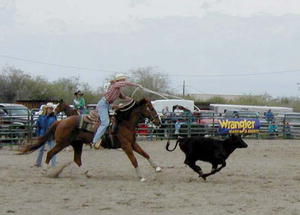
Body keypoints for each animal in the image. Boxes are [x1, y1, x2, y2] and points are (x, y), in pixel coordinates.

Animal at [19, 98, 162, 181]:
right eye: (150, 108)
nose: (159, 121)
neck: (124, 122)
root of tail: (60, 121)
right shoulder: (126, 145)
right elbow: (134, 160)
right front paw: (141, 176)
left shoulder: (132, 143)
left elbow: (145, 154)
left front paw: (157, 168)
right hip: (62, 143)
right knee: (50, 153)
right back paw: (44, 171)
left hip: (77, 144)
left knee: (77, 159)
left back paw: (88, 173)